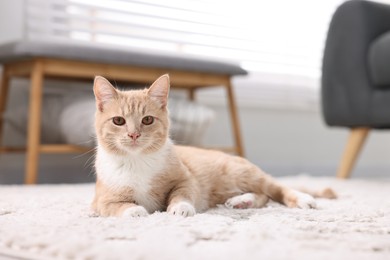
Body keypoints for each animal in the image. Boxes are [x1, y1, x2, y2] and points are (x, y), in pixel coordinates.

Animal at [90, 73, 332, 217]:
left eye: (147, 120)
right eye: (118, 121)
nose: (133, 134)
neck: (137, 161)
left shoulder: (186, 179)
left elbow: (183, 192)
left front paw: (180, 207)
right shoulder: (102, 198)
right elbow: (113, 206)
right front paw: (134, 211)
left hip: (241, 172)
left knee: (274, 188)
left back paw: (301, 199)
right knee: (263, 195)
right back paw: (242, 201)